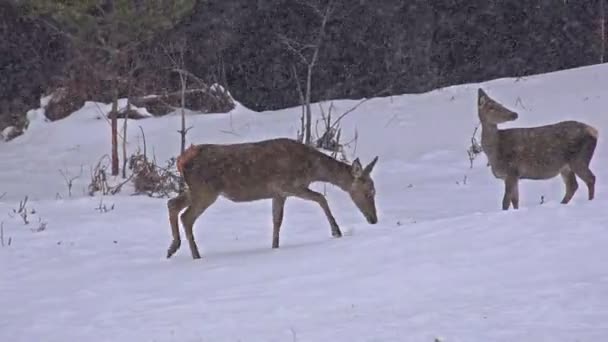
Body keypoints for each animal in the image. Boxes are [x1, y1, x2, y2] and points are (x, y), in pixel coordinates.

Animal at [166, 136, 380, 260]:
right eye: (369, 191)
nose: (374, 219)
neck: (311, 168)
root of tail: (182, 160)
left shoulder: (279, 193)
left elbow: (277, 220)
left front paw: (274, 247)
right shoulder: (288, 185)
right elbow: (321, 198)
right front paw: (336, 231)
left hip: (196, 190)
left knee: (172, 204)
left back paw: (172, 248)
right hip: (205, 191)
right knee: (186, 216)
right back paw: (195, 255)